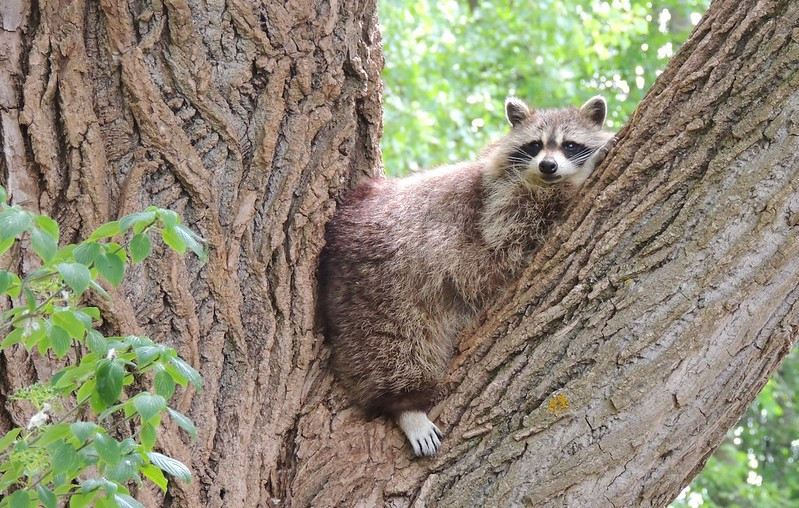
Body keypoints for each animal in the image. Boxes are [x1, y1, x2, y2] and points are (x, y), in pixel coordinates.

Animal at [316, 95, 616, 456]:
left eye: (570, 145)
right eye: (534, 145)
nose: (548, 166)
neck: (540, 181)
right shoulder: (493, 209)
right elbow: (519, 230)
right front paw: (582, 176)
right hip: (377, 287)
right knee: (389, 345)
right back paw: (404, 404)